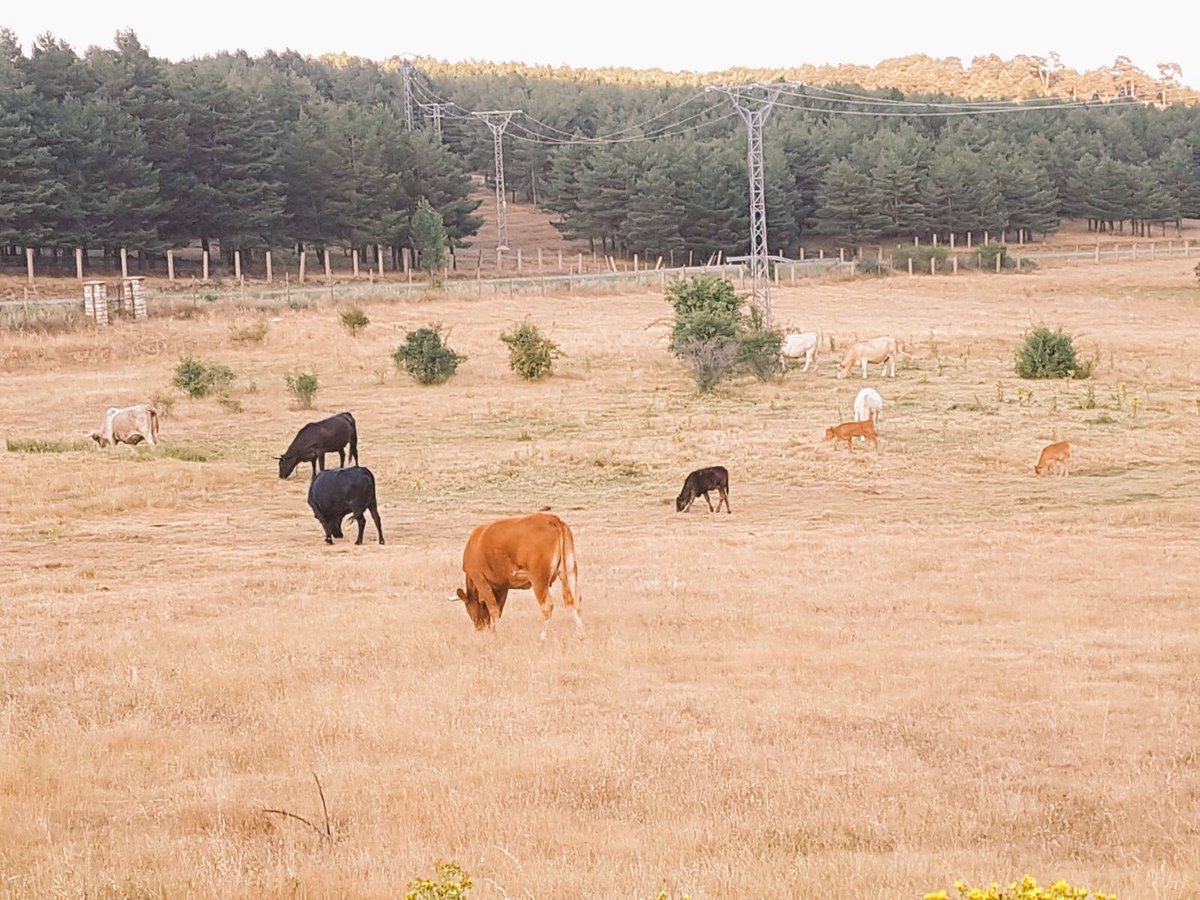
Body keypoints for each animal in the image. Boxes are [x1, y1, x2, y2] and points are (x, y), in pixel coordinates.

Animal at [451, 512, 582, 638]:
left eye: (467, 610)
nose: (480, 628)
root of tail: (551, 519)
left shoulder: (480, 579)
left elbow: (493, 609)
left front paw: (496, 634)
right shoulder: (502, 586)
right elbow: (499, 609)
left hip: (539, 578)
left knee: (547, 605)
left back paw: (542, 636)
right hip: (570, 570)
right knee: (575, 600)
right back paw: (580, 634)